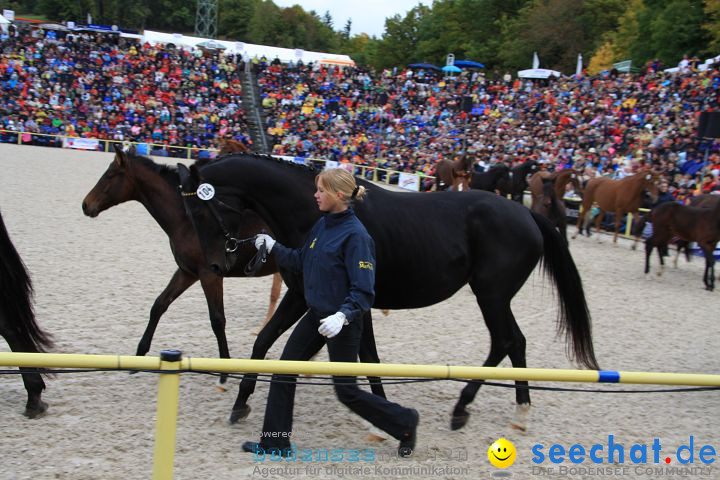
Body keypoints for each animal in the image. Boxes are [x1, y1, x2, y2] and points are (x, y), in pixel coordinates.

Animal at [179, 155, 596, 432]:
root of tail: (527, 215)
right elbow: (273, 342)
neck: (318, 217)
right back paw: (513, 409)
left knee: (505, 341)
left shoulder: (319, 299)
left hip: (490, 295)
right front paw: (241, 403)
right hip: (496, 297)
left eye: (202, 211)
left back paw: (464, 408)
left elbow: (353, 356)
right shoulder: (317, 299)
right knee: (515, 342)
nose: (214, 265)